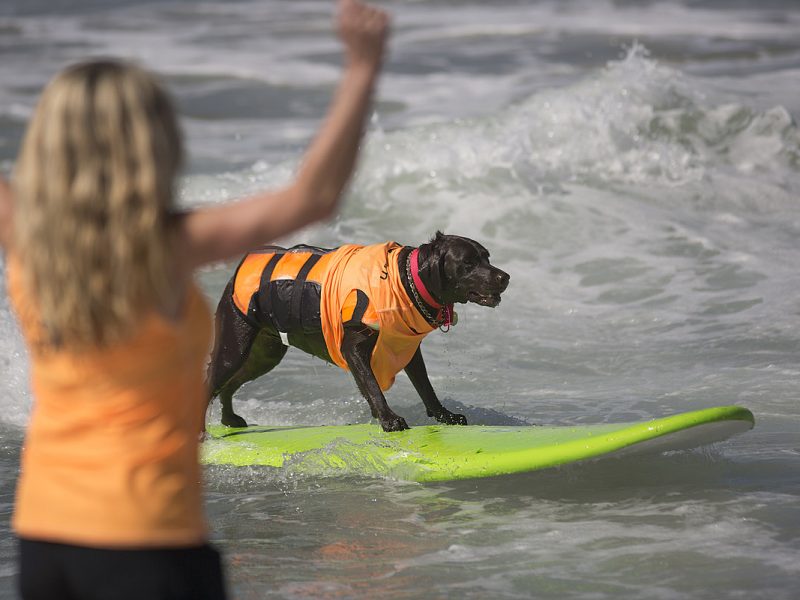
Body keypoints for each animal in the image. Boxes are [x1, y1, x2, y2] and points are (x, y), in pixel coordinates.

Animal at [205, 231, 506, 432]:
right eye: (468, 263)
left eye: (487, 257)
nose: (506, 277)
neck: (403, 279)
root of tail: (236, 272)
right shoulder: (353, 348)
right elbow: (372, 386)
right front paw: (388, 418)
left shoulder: (408, 351)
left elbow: (426, 388)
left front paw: (445, 415)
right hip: (234, 347)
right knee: (211, 382)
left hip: (265, 354)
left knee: (229, 385)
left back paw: (230, 420)